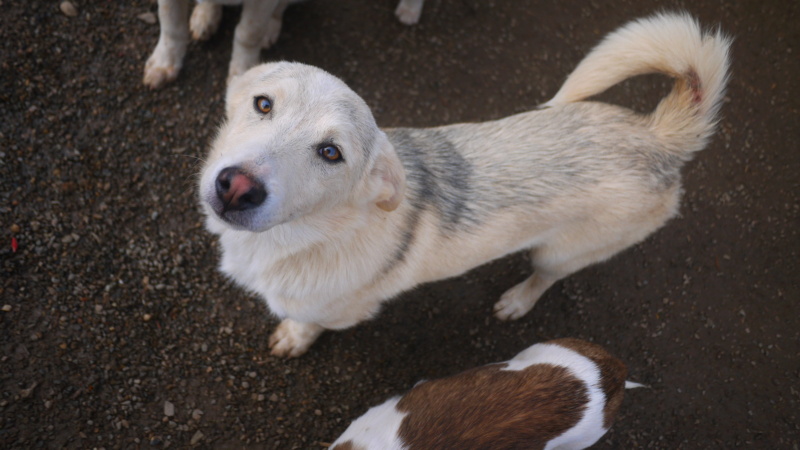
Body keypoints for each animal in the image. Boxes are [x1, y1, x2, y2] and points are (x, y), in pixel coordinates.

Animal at [198, 13, 732, 356]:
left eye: (331, 152)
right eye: (263, 104)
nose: (236, 187)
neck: (306, 236)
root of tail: (657, 137)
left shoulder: (334, 310)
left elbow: (307, 323)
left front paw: (293, 338)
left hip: (564, 251)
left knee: (546, 275)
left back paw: (516, 301)